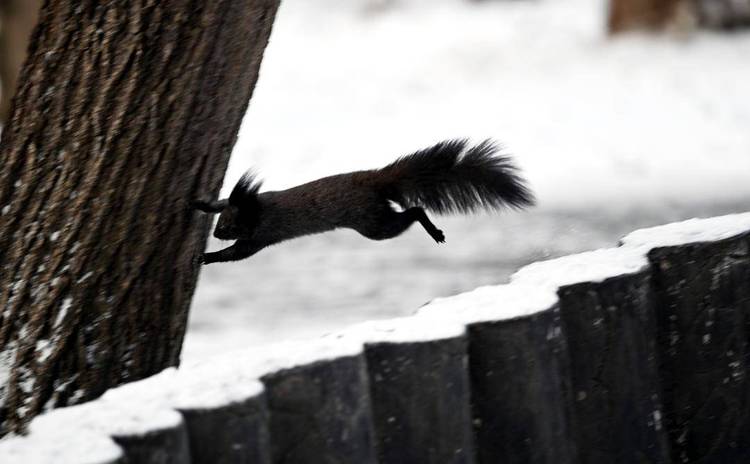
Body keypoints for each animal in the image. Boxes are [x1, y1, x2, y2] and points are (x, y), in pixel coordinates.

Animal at [194, 139, 536, 264]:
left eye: (230, 226)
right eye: (221, 220)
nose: (215, 233)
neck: (258, 207)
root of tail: (374, 180)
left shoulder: (261, 235)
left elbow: (236, 254)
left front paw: (206, 257)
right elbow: (220, 200)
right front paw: (200, 204)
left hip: (373, 223)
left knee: (413, 211)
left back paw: (434, 231)